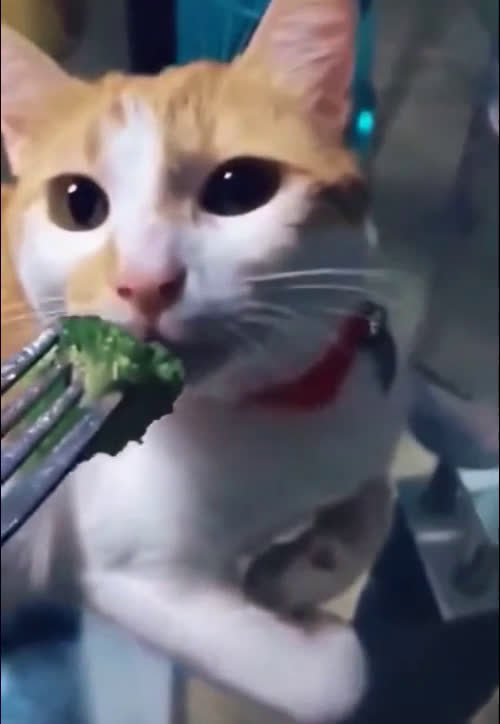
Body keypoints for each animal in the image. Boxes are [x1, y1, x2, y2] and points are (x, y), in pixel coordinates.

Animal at [1, 2, 412, 721]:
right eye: (78, 204)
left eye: (239, 187)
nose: (145, 282)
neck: (275, 405)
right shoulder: (128, 576)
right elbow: (335, 677)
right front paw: (311, 620)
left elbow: (378, 496)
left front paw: (306, 564)